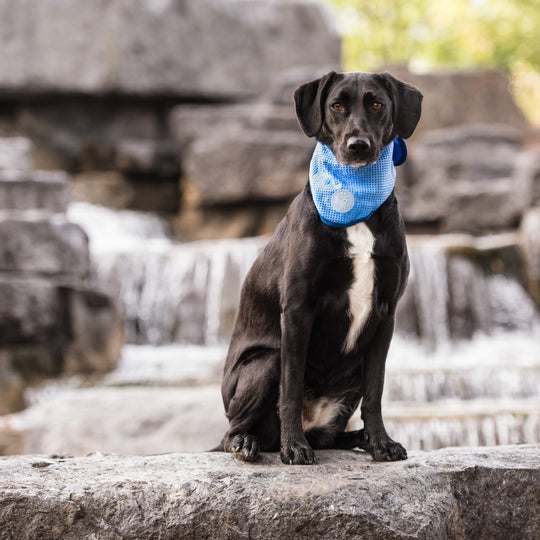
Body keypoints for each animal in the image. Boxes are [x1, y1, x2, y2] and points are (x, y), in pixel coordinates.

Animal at [217, 70, 420, 464]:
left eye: (377, 104)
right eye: (336, 106)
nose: (358, 145)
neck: (356, 199)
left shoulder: (385, 313)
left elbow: (376, 391)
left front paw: (381, 442)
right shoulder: (297, 309)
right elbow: (291, 387)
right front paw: (294, 447)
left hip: (352, 372)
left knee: (333, 435)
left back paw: (358, 439)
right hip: (267, 361)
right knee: (232, 431)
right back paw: (249, 443)